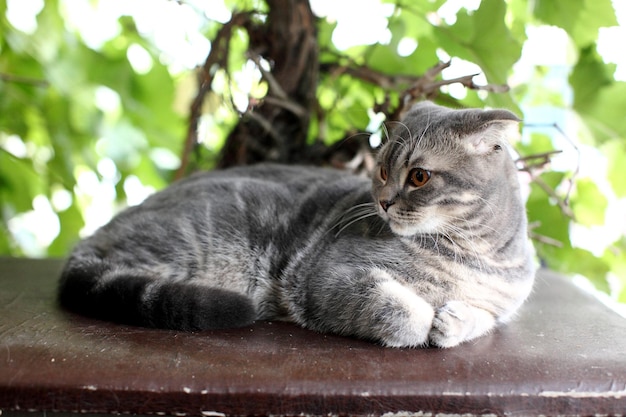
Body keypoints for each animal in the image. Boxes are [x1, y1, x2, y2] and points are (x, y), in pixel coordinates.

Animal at [61, 101, 532, 348]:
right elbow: (405, 313)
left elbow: (483, 317)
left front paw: (452, 321)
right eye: (382, 170)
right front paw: (426, 319)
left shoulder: (503, 302)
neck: (470, 255)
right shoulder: (331, 276)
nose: (382, 202)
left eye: (418, 176)